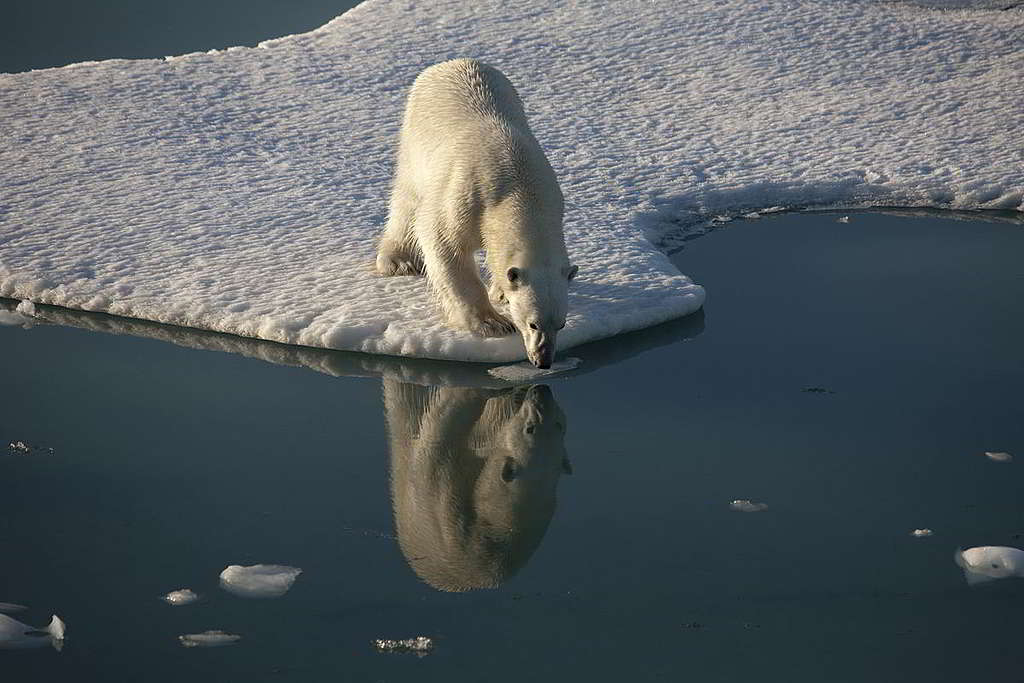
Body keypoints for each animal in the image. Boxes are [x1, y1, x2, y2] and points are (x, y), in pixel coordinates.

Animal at [376, 58, 577, 368]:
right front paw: (492, 323)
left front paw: (500, 292)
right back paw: (398, 260)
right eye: (532, 323)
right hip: (416, 138)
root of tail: (450, 63)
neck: (520, 186)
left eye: (561, 324)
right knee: (407, 199)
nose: (543, 360)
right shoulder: (468, 195)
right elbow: (442, 242)